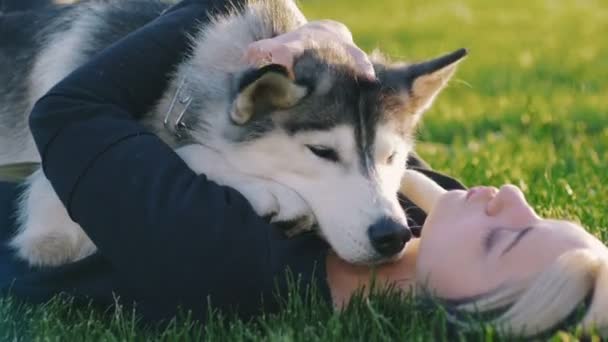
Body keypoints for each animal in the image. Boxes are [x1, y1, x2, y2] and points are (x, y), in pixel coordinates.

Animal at [0, 0, 466, 266]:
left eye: (390, 157)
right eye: (321, 152)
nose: (392, 235)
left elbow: (416, 177)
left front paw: (446, 197)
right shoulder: (52, 221)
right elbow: (176, 152)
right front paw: (268, 191)